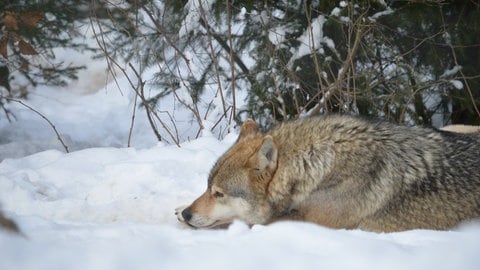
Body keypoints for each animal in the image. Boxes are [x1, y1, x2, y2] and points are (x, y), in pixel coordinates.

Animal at [175, 114, 480, 232]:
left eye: (218, 194)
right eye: (207, 188)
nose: (188, 213)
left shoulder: (318, 223)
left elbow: (257, 222)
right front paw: (179, 209)